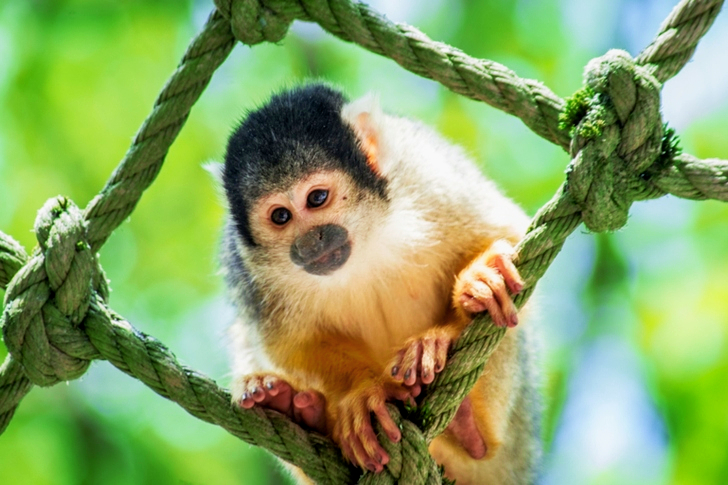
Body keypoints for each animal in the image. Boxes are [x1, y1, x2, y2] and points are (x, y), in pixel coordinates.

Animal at [217, 83, 541, 484]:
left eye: (317, 198)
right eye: (280, 216)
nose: (311, 242)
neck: (365, 239)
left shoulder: (426, 174)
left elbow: (505, 230)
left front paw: (453, 316)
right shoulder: (247, 264)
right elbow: (289, 345)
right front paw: (361, 390)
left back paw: (471, 430)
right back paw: (297, 410)